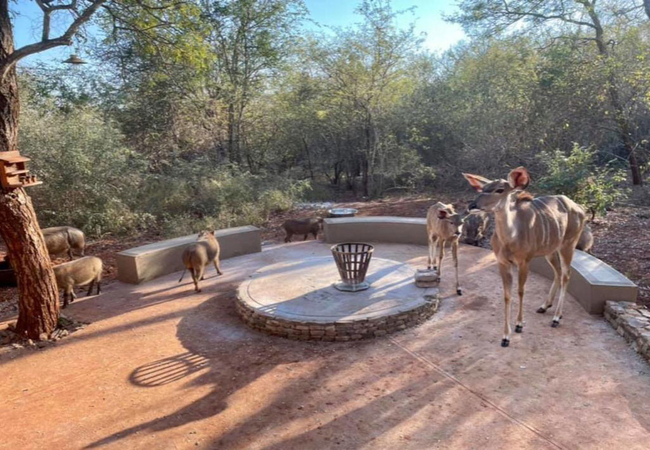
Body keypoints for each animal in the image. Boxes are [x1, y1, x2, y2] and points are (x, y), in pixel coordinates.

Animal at [463, 167, 587, 347]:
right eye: (482, 189)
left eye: (499, 190)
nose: (472, 205)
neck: (511, 238)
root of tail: (579, 208)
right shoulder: (503, 262)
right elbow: (507, 296)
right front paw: (505, 337)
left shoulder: (524, 261)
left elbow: (521, 291)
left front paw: (519, 325)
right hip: (551, 250)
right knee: (558, 272)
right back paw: (544, 306)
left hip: (568, 244)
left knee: (566, 275)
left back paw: (556, 318)